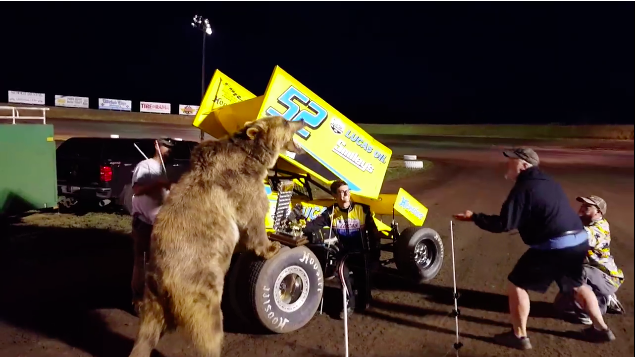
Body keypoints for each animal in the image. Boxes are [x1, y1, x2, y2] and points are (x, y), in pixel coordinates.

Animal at [129, 115, 308, 354]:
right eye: (286, 122)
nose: (302, 119)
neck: (254, 156)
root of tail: (162, 281)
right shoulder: (243, 184)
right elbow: (254, 218)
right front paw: (271, 247)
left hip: (152, 299)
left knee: (146, 334)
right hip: (200, 288)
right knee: (208, 329)